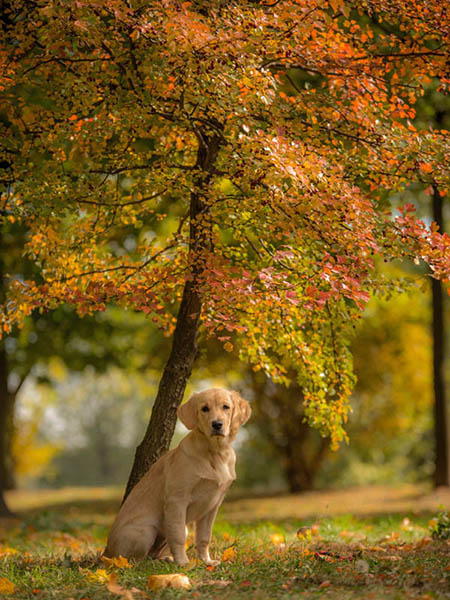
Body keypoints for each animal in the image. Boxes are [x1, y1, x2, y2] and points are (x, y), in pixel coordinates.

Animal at [105, 386, 251, 564]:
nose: (217, 424)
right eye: (204, 409)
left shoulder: (213, 505)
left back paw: (166, 559)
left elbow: (204, 537)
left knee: (152, 556)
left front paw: (207, 562)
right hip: (145, 531)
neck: (215, 452)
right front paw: (184, 563)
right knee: (131, 560)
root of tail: (106, 553)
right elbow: (178, 535)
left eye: (226, 407)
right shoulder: (177, 500)